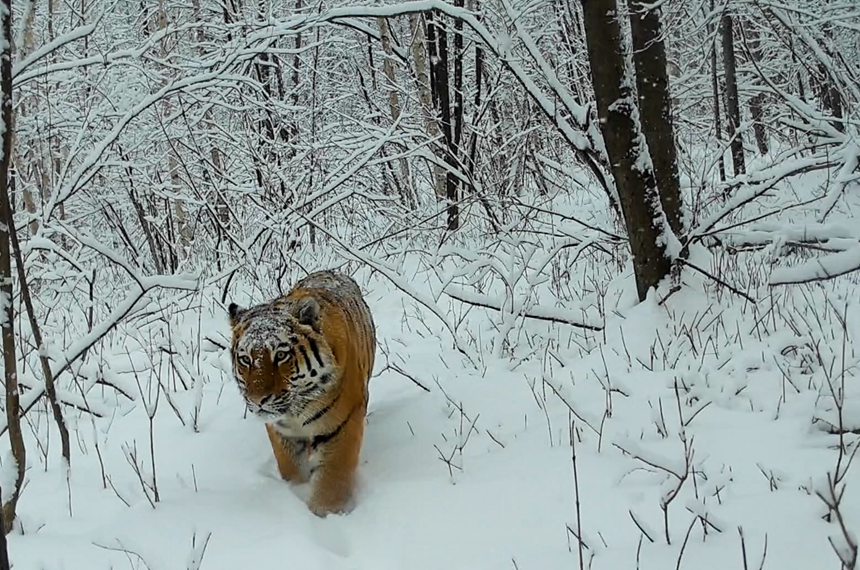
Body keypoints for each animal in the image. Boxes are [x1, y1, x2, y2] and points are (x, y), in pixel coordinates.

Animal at [228, 270, 376, 516]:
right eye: (246, 359)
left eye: (280, 355)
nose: (257, 401)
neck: (297, 410)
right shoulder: (281, 430)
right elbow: (290, 467)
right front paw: (296, 489)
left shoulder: (342, 424)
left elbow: (332, 477)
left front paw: (327, 514)